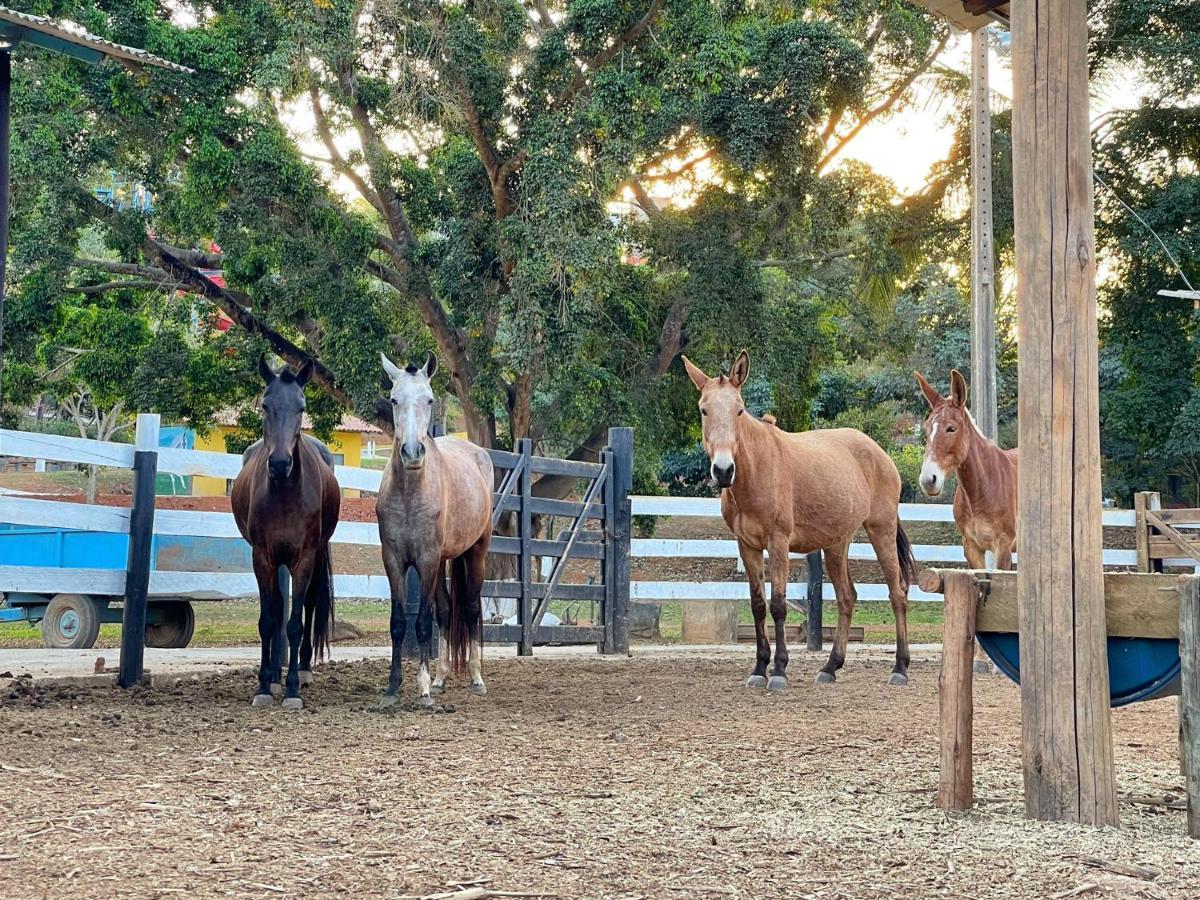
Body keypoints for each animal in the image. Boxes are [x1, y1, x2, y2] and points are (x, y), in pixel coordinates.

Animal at [230, 360, 340, 710]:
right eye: (265, 405)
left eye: (301, 407)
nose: (279, 464)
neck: (285, 493)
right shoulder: (262, 558)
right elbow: (269, 620)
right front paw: (264, 686)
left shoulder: (304, 558)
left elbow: (295, 624)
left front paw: (292, 690)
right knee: (278, 610)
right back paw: (274, 676)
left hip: (313, 559)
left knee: (308, 605)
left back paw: (301, 672)